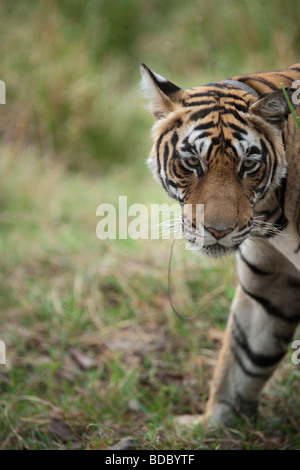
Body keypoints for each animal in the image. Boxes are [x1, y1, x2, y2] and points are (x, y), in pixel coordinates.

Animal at [141, 61, 300, 426]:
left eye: (249, 165)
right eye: (192, 162)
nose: (217, 231)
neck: (271, 211)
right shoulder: (270, 282)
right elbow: (245, 357)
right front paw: (213, 424)